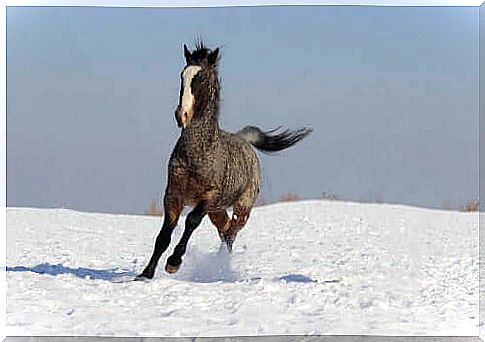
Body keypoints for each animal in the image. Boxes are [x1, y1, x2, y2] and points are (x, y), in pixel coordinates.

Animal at [135, 42, 310, 280]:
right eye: (182, 75)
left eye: (201, 77)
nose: (181, 115)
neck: (197, 154)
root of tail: (244, 140)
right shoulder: (173, 194)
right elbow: (164, 234)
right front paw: (146, 273)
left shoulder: (208, 197)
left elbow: (191, 221)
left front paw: (173, 263)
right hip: (217, 211)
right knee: (225, 229)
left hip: (241, 208)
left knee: (230, 234)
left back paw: (220, 266)